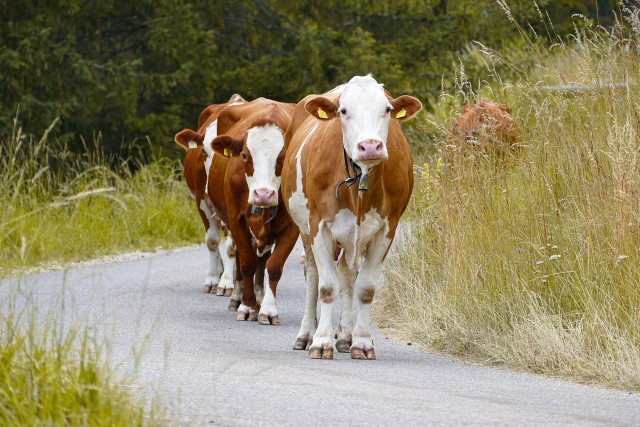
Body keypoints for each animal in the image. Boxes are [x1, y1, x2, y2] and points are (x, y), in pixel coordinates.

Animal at [175, 95, 248, 298]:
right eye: (203, 151)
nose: (211, 187)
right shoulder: (201, 200)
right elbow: (212, 241)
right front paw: (213, 279)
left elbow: (232, 246)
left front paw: (227, 282)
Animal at [208, 97, 300, 324]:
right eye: (244, 155)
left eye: (283, 157)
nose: (263, 194)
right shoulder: (236, 220)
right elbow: (247, 263)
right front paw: (247, 306)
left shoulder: (292, 227)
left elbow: (274, 266)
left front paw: (267, 309)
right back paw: (238, 297)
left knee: (262, 260)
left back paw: (259, 297)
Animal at [282, 75, 422, 360]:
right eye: (344, 111)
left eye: (387, 109)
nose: (370, 146)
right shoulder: (319, 225)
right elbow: (326, 287)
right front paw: (321, 342)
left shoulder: (387, 228)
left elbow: (365, 288)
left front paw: (362, 342)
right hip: (304, 229)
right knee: (312, 274)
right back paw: (306, 333)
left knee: (347, 275)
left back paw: (345, 335)